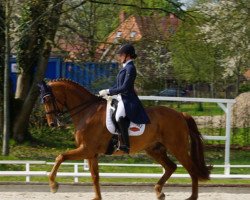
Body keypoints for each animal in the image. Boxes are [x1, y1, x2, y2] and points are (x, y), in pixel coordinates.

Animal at [39, 79, 211, 200]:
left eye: (47, 99)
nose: (52, 123)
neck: (87, 112)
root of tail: (180, 114)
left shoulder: (86, 149)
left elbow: (60, 156)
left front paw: (53, 185)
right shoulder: (91, 153)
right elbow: (95, 176)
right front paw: (97, 197)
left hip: (177, 147)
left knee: (191, 169)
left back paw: (191, 197)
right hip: (153, 149)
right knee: (171, 167)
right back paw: (159, 192)